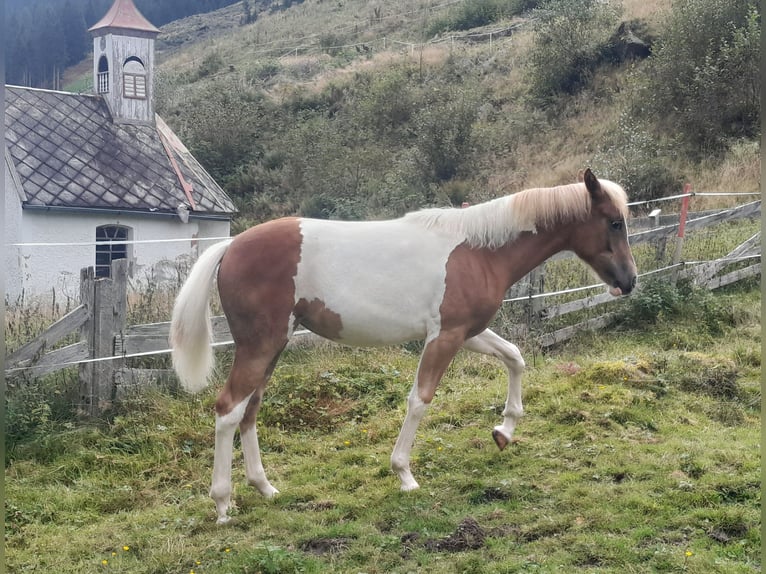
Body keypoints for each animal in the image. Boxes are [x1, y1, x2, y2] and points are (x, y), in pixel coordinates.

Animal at [170, 168, 637, 524]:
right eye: (615, 222)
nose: (629, 281)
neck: (480, 251)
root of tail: (231, 245)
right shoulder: (445, 337)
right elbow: (420, 400)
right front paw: (404, 474)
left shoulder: (468, 332)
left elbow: (515, 358)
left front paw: (504, 432)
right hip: (260, 347)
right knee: (228, 410)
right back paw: (223, 504)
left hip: (272, 348)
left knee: (249, 411)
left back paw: (265, 488)